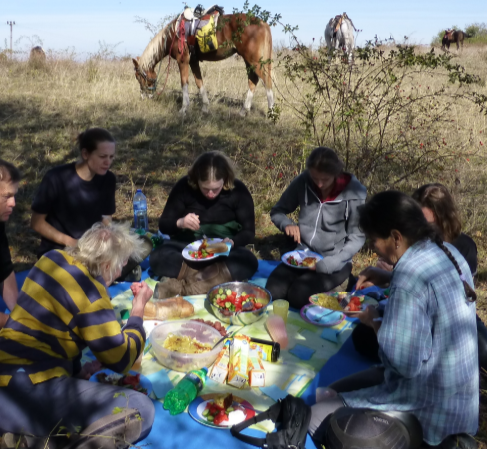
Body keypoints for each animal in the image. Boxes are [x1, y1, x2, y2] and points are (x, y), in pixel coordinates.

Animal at [133, 9, 274, 114]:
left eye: (139, 77)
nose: (143, 97)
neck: (172, 34)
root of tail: (262, 23)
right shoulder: (193, 62)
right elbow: (199, 82)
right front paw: (205, 107)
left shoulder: (182, 60)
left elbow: (184, 83)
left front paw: (184, 108)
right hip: (249, 60)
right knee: (253, 80)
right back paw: (244, 111)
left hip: (254, 60)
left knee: (266, 81)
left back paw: (271, 113)